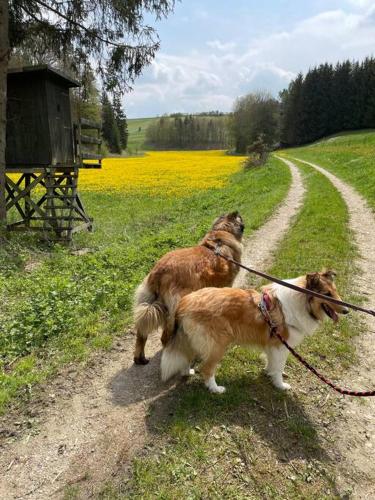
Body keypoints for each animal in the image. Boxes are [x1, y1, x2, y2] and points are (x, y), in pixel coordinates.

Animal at [134, 211, 245, 364]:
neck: (222, 231)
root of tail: (158, 272)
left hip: (147, 302)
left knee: (141, 333)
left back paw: (140, 358)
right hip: (176, 307)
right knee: (165, 338)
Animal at [161, 270, 350, 390]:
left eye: (335, 291)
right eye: (327, 294)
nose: (347, 311)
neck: (301, 300)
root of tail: (184, 303)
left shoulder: (273, 345)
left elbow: (272, 363)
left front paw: (269, 373)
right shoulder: (281, 346)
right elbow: (279, 367)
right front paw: (280, 385)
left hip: (194, 339)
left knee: (186, 357)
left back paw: (188, 372)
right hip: (217, 345)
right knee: (206, 369)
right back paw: (216, 389)